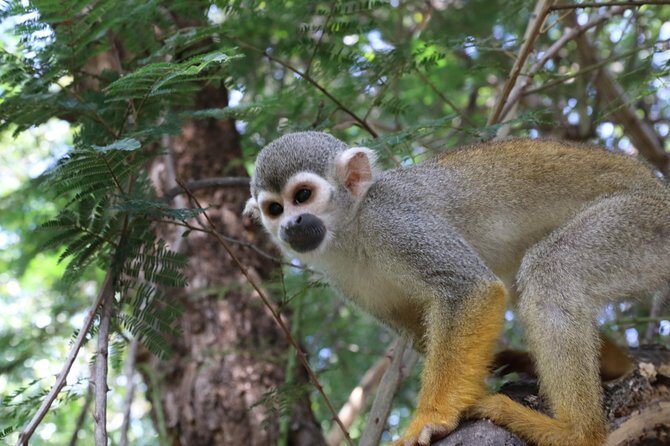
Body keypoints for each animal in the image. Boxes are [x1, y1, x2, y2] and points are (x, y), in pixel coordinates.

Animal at [243, 131, 670, 446]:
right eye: (274, 209)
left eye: (302, 196)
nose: (292, 224)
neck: (352, 229)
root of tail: (656, 185)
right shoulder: (343, 278)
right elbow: (420, 328)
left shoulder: (395, 221)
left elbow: (470, 290)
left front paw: (431, 420)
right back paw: (611, 366)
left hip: (641, 223)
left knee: (552, 274)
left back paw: (576, 433)